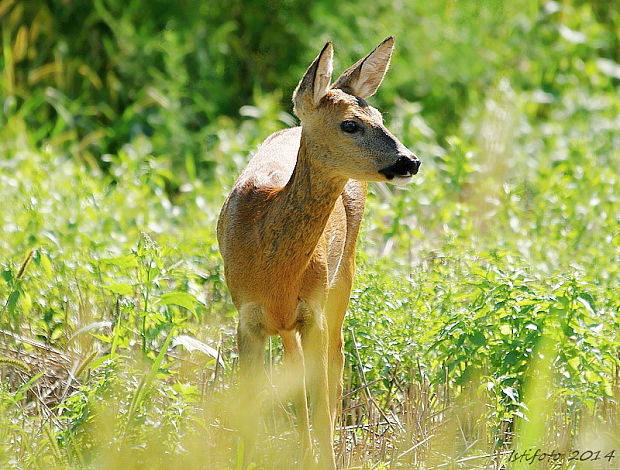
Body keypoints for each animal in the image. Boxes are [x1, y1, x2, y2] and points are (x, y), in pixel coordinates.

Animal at [218, 38, 422, 468]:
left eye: (380, 116)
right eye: (350, 124)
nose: (410, 161)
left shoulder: (314, 311)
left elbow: (321, 397)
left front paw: (324, 457)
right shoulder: (246, 317)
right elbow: (251, 406)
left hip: (342, 278)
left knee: (335, 368)